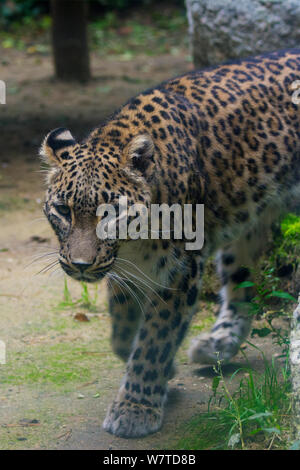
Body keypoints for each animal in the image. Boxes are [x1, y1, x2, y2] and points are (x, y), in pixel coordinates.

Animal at [39, 47, 300, 436]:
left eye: (109, 213)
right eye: (62, 210)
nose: (81, 265)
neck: (134, 243)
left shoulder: (181, 271)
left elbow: (155, 340)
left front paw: (135, 409)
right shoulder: (126, 271)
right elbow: (123, 332)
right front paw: (158, 374)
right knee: (240, 282)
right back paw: (218, 343)